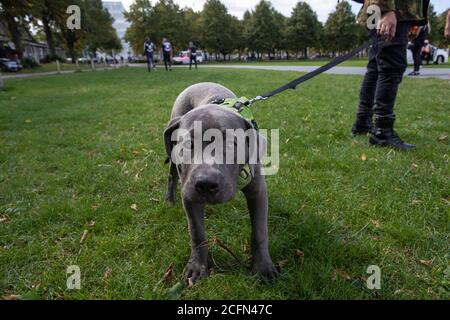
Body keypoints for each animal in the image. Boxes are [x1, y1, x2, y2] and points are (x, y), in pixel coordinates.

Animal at [163, 82, 278, 282]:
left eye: (232, 144)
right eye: (188, 144)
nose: (206, 184)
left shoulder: (258, 192)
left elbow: (259, 231)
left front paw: (263, 267)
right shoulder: (189, 194)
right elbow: (197, 232)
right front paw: (197, 266)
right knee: (172, 177)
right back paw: (170, 200)